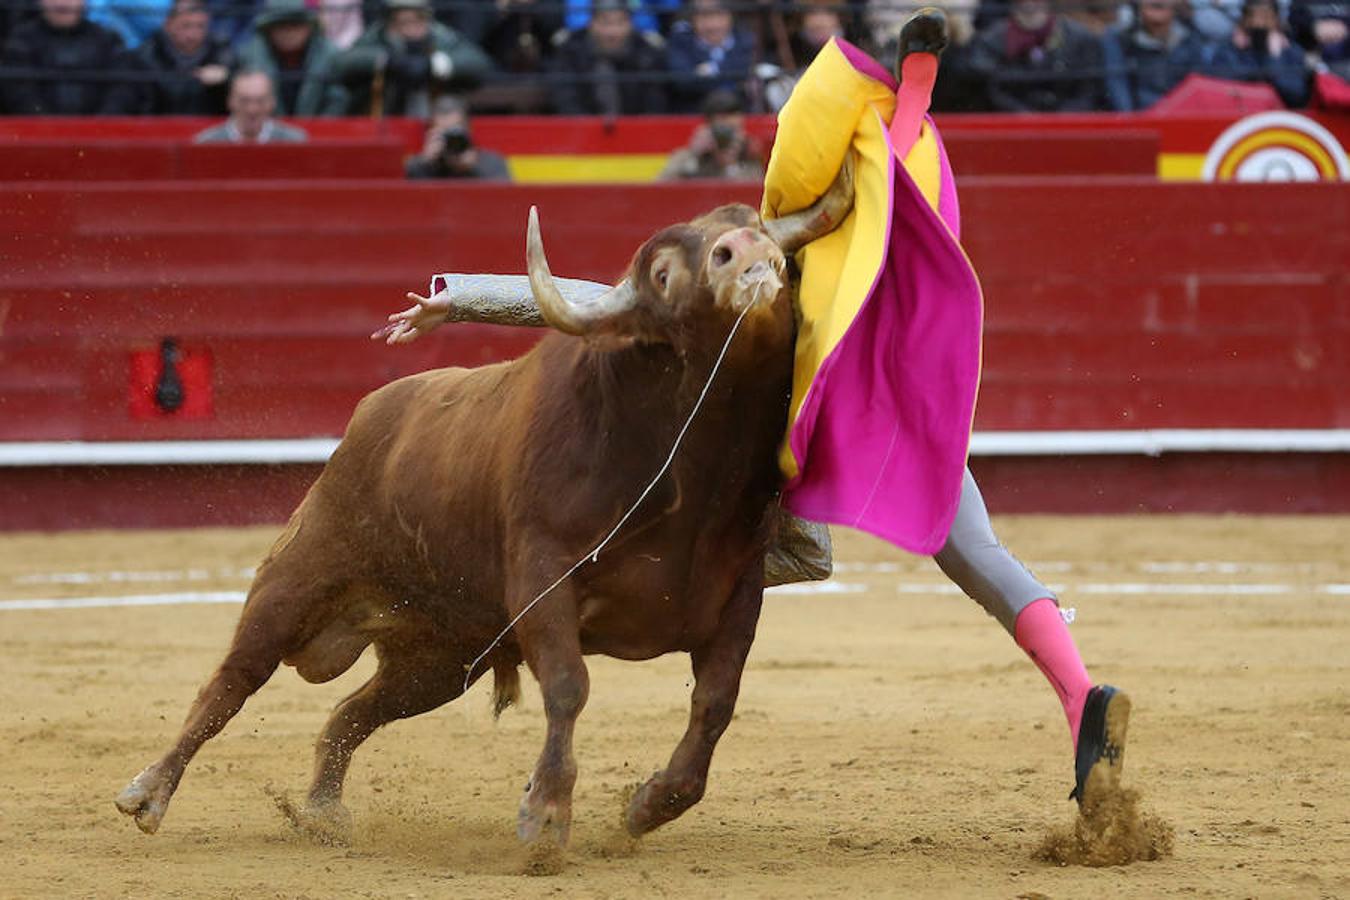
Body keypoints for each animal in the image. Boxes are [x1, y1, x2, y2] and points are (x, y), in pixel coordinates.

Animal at [116, 163, 853, 852]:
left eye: (755, 228)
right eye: (666, 273)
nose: (744, 249)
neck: (689, 472)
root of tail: (369, 415)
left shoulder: (737, 597)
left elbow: (715, 703)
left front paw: (648, 805)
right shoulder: (542, 579)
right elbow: (569, 684)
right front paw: (545, 819)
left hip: (438, 657)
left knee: (352, 712)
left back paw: (322, 813)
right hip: (295, 581)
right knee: (233, 681)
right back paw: (147, 793)